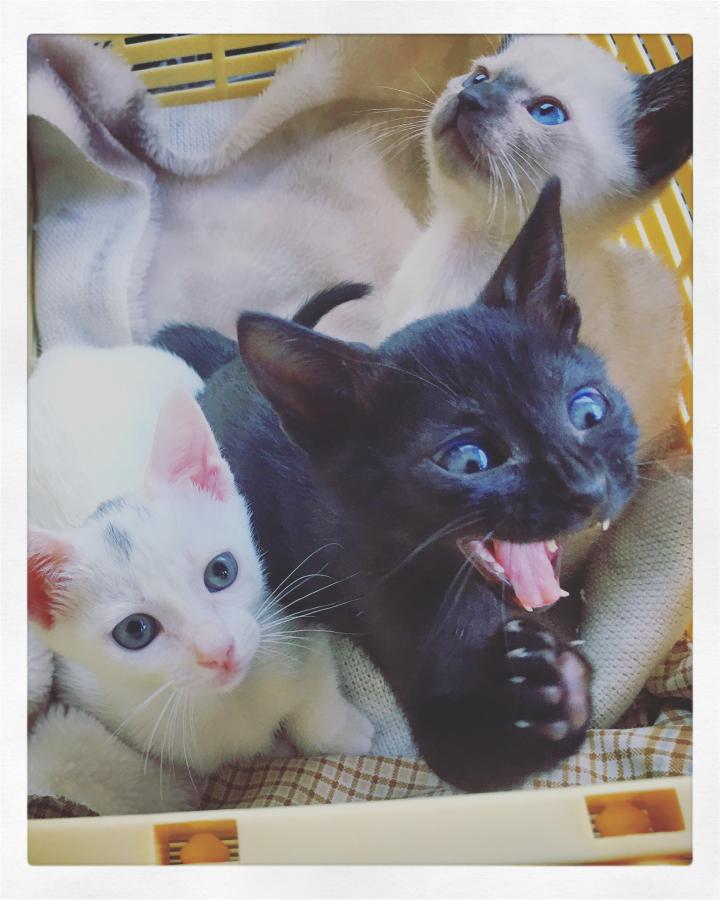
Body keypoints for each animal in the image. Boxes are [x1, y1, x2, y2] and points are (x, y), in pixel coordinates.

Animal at [156, 178, 640, 792]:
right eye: (468, 460)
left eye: (588, 410)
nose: (585, 486)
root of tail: (225, 366)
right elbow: (468, 754)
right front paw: (553, 689)